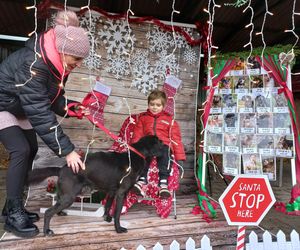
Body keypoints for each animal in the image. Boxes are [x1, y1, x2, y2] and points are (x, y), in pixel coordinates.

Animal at [27, 136, 164, 235]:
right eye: (160, 142)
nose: (168, 147)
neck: (136, 154)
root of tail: (62, 169)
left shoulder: (112, 192)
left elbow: (108, 206)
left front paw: (106, 218)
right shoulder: (121, 193)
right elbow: (117, 213)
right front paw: (118, 229)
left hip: (65, 195)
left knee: (56, 205)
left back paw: (60, 213)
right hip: (69, 197)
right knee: (48, 212)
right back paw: (47, 231)